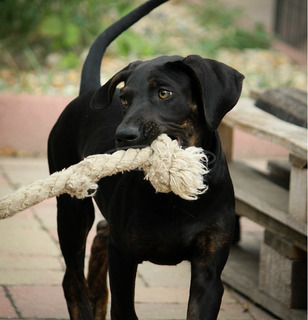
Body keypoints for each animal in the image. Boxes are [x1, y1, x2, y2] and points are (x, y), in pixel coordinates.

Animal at [48, 1, 244, 318]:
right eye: (124, 99)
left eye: (164, 93)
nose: (123, 136)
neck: (173, 199)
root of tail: (86, 92)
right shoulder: (123, 257)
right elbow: (125, 309)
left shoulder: (209, 270)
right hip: (72, 210)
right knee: (71, 278)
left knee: (101, 234)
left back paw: (98, 298)